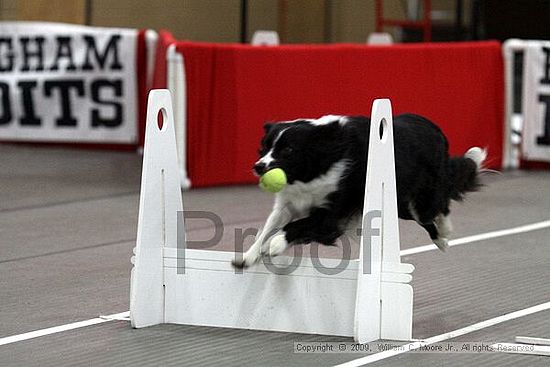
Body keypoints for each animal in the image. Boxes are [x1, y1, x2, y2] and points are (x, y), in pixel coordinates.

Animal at [233, 113, 488, 268]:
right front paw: (249, 256)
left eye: (288, 150)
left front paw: (275, 245)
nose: (258, 166)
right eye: (264, 147)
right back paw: (441, 239)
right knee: (424, 216)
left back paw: (444, 233)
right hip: (398, 203)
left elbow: (296, 225)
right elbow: (268, 226)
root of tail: (434, 127)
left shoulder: (333, 214)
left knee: (436, 207)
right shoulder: (289, 202)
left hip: (422, 193)